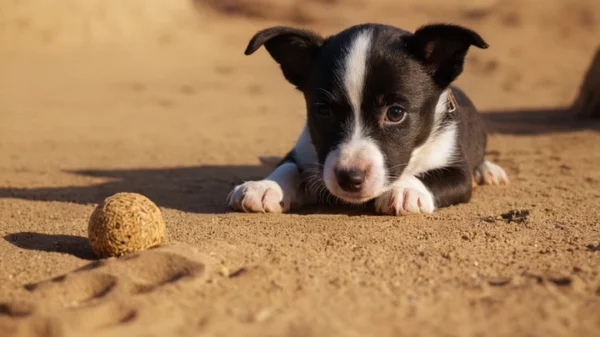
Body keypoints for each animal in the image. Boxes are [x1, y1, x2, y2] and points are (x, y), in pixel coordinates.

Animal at [227, 22, 508, 214]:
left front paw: (406, 189)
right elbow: (287, 166)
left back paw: (488, 170)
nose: (349, 178)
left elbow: (435, 176)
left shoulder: (457, 170)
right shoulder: (306, 148)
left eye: (395, 113)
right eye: (323, 111)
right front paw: (265, 186)